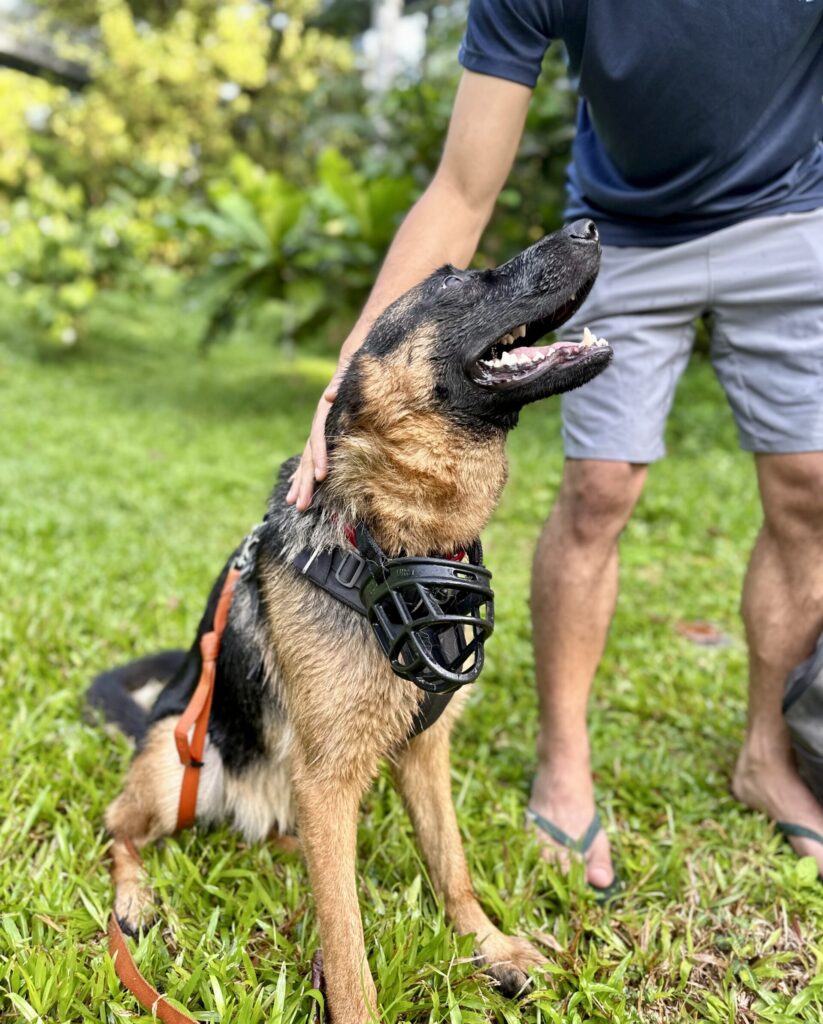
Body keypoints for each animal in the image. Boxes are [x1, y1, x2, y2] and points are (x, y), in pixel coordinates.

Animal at [91, 218, 610, 1024]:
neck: (391, 540)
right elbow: (346, 943)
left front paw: (488, 945)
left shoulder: (422, 754)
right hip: (175, 764)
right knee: (118, 831)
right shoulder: (328, 780)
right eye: (456, 281)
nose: (589, 226)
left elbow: (452, 865)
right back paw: (137, 898)